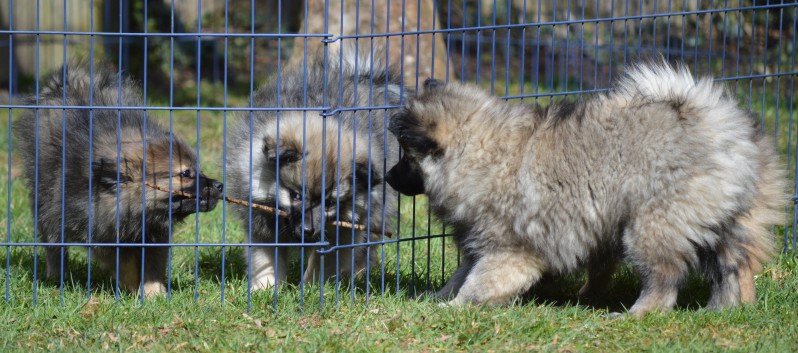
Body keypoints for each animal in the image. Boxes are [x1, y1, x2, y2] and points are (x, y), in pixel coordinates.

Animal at [14, 64, 225, 296]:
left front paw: (154, 293)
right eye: (186, 174)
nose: (219, 185)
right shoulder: (101, 232)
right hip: (46, 200)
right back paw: (55, 276)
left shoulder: (154, 234)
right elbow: (124, 263)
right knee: (52, 242)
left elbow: (152, 265)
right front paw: (133, 287)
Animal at [388, 64, 788, 316]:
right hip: (722, 221)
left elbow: (477, 285)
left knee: (664, 277)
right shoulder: (479, 244)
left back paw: (638, 314)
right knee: (734, 266)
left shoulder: (507, 251)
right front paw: (435, 298)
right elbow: (459, 277)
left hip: (649, 226)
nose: (388, 177)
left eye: (406, 156)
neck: (481, 153)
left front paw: (451, 308)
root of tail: (717, 125)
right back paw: (725, 309)